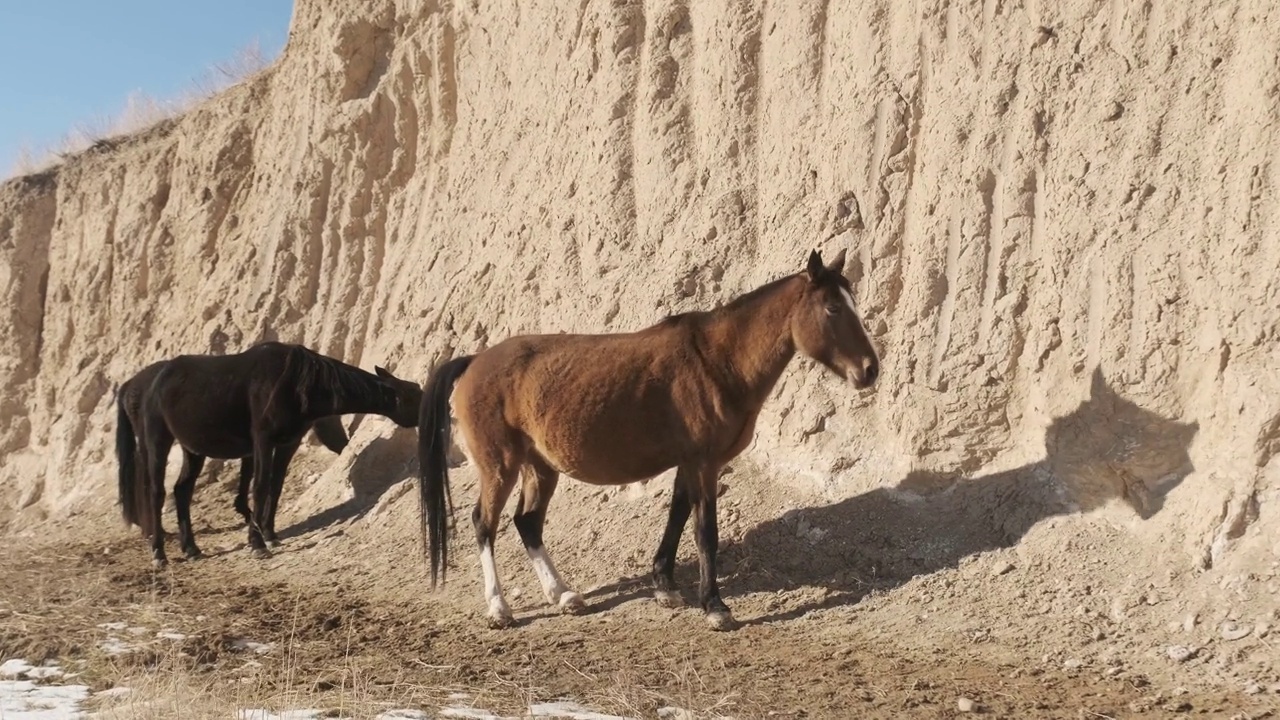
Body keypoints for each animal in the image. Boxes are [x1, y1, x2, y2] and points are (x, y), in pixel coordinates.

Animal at [117, 338, 422, 563]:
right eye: (413, 397)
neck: (297, 382)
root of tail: (143, 384)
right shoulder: (262, 441)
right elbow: (261, 486)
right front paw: (257, 544)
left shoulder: (288, 442)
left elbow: (275, 486)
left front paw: (270, 534)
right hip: (157, 440)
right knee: (155, 492)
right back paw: (159, 552)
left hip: (193, 449)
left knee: (182, 490)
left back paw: (191, 549)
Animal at [419, 248, 880, 627]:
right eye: (833, 307)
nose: (870, 369)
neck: (717, 362)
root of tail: (475, 361)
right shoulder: (704, 463)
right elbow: (705, 531)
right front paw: (715, 606)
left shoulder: (690, 463)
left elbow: (676, 516)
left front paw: (665, 585)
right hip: (500, 466)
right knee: (485, 523)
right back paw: (499, 608)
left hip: (540, 467)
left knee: (527, 523)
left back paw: (563, 594)